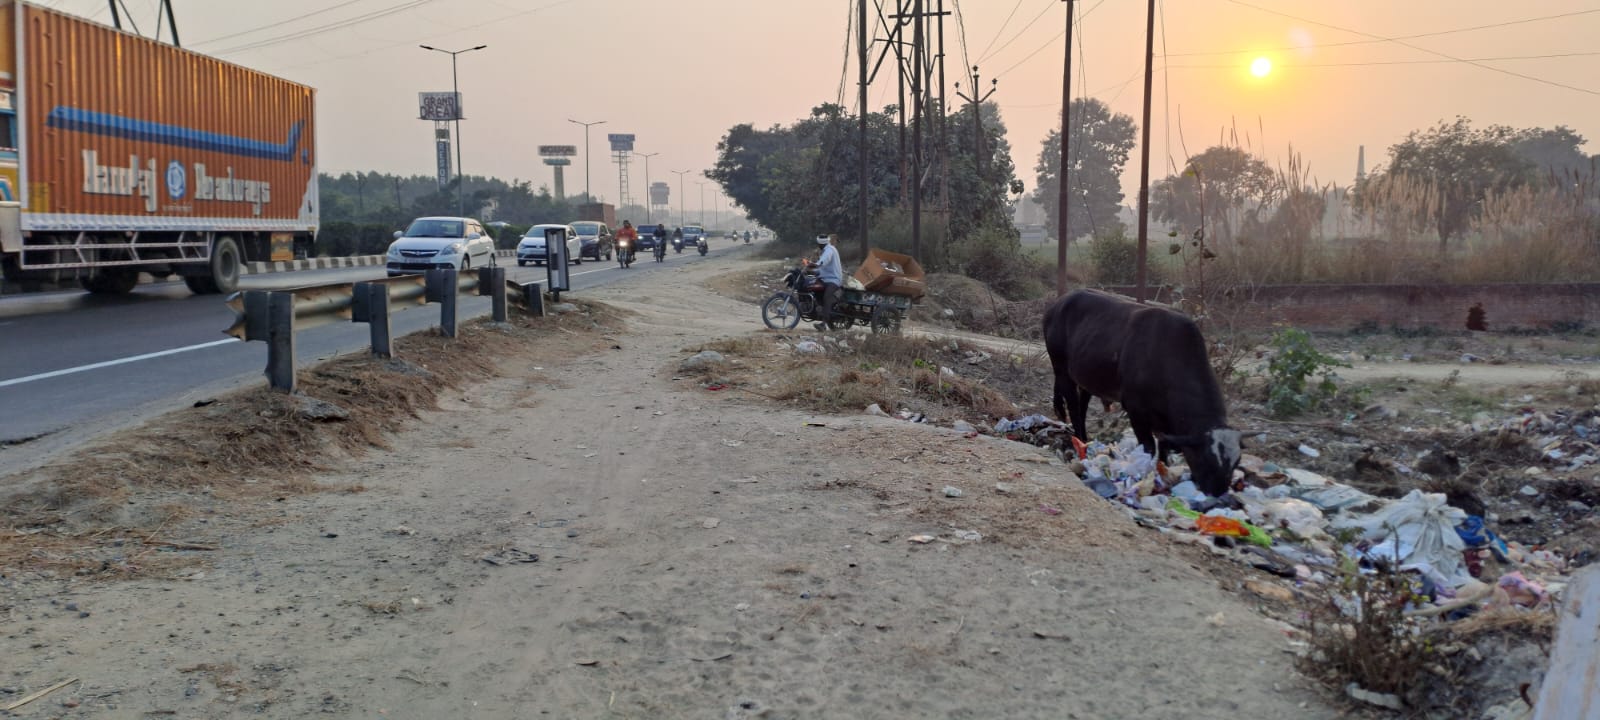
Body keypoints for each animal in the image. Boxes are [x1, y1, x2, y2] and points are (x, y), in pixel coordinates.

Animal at [1043, 288, 1241, 496]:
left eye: (1236, 462)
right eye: (1206, 458)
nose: (1218, 492)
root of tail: (1060, 302)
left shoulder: (1166, 423)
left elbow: (1163, 448)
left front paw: (1163, 472)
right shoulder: (1136, 411)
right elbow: (1148, 448)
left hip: (1086, 376)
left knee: (1082, 405)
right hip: (1061, 369)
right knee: (1073, 405)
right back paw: (1080, 440)